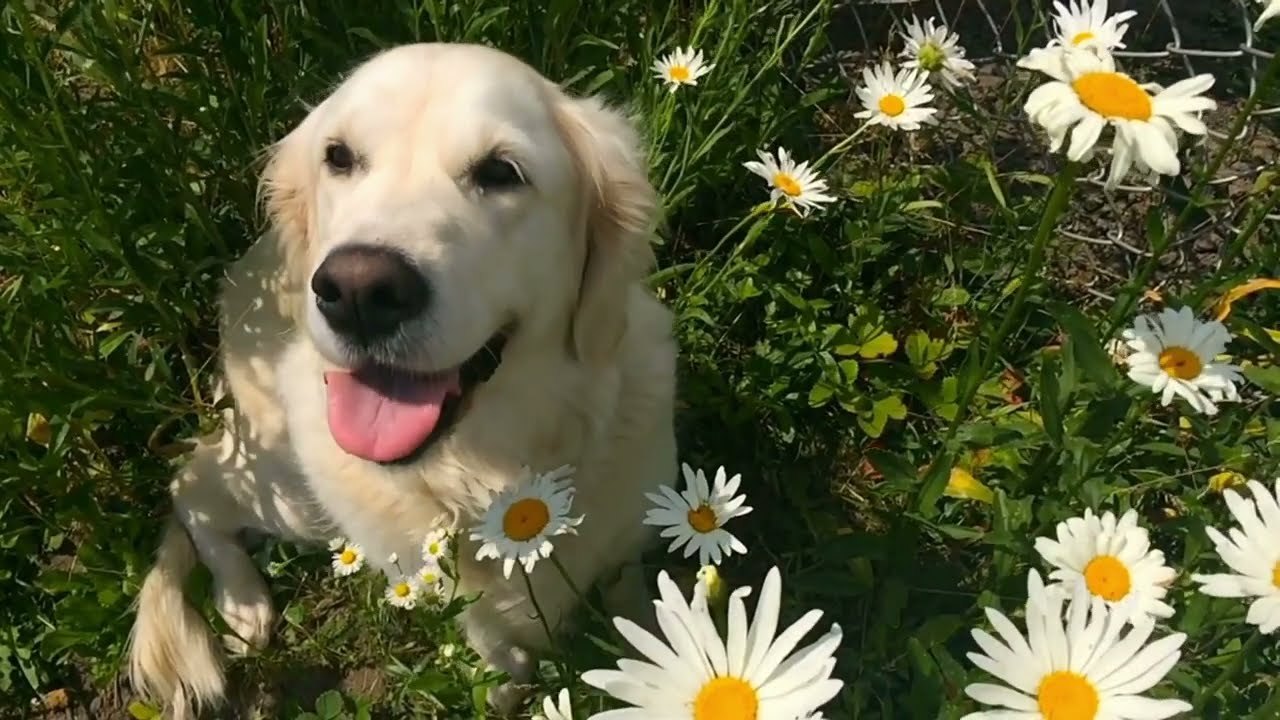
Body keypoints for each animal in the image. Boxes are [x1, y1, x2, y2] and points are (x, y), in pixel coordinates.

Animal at [128, 41, 680, 712]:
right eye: (339, 156)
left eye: (501, 172)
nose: (357, 291)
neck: (491, 475)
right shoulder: (456, 598)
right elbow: (496, 646)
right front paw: (505, 686)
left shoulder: (630, 537)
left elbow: (637, 604)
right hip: (294, 494)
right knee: (192, 482)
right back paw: (242, 602)